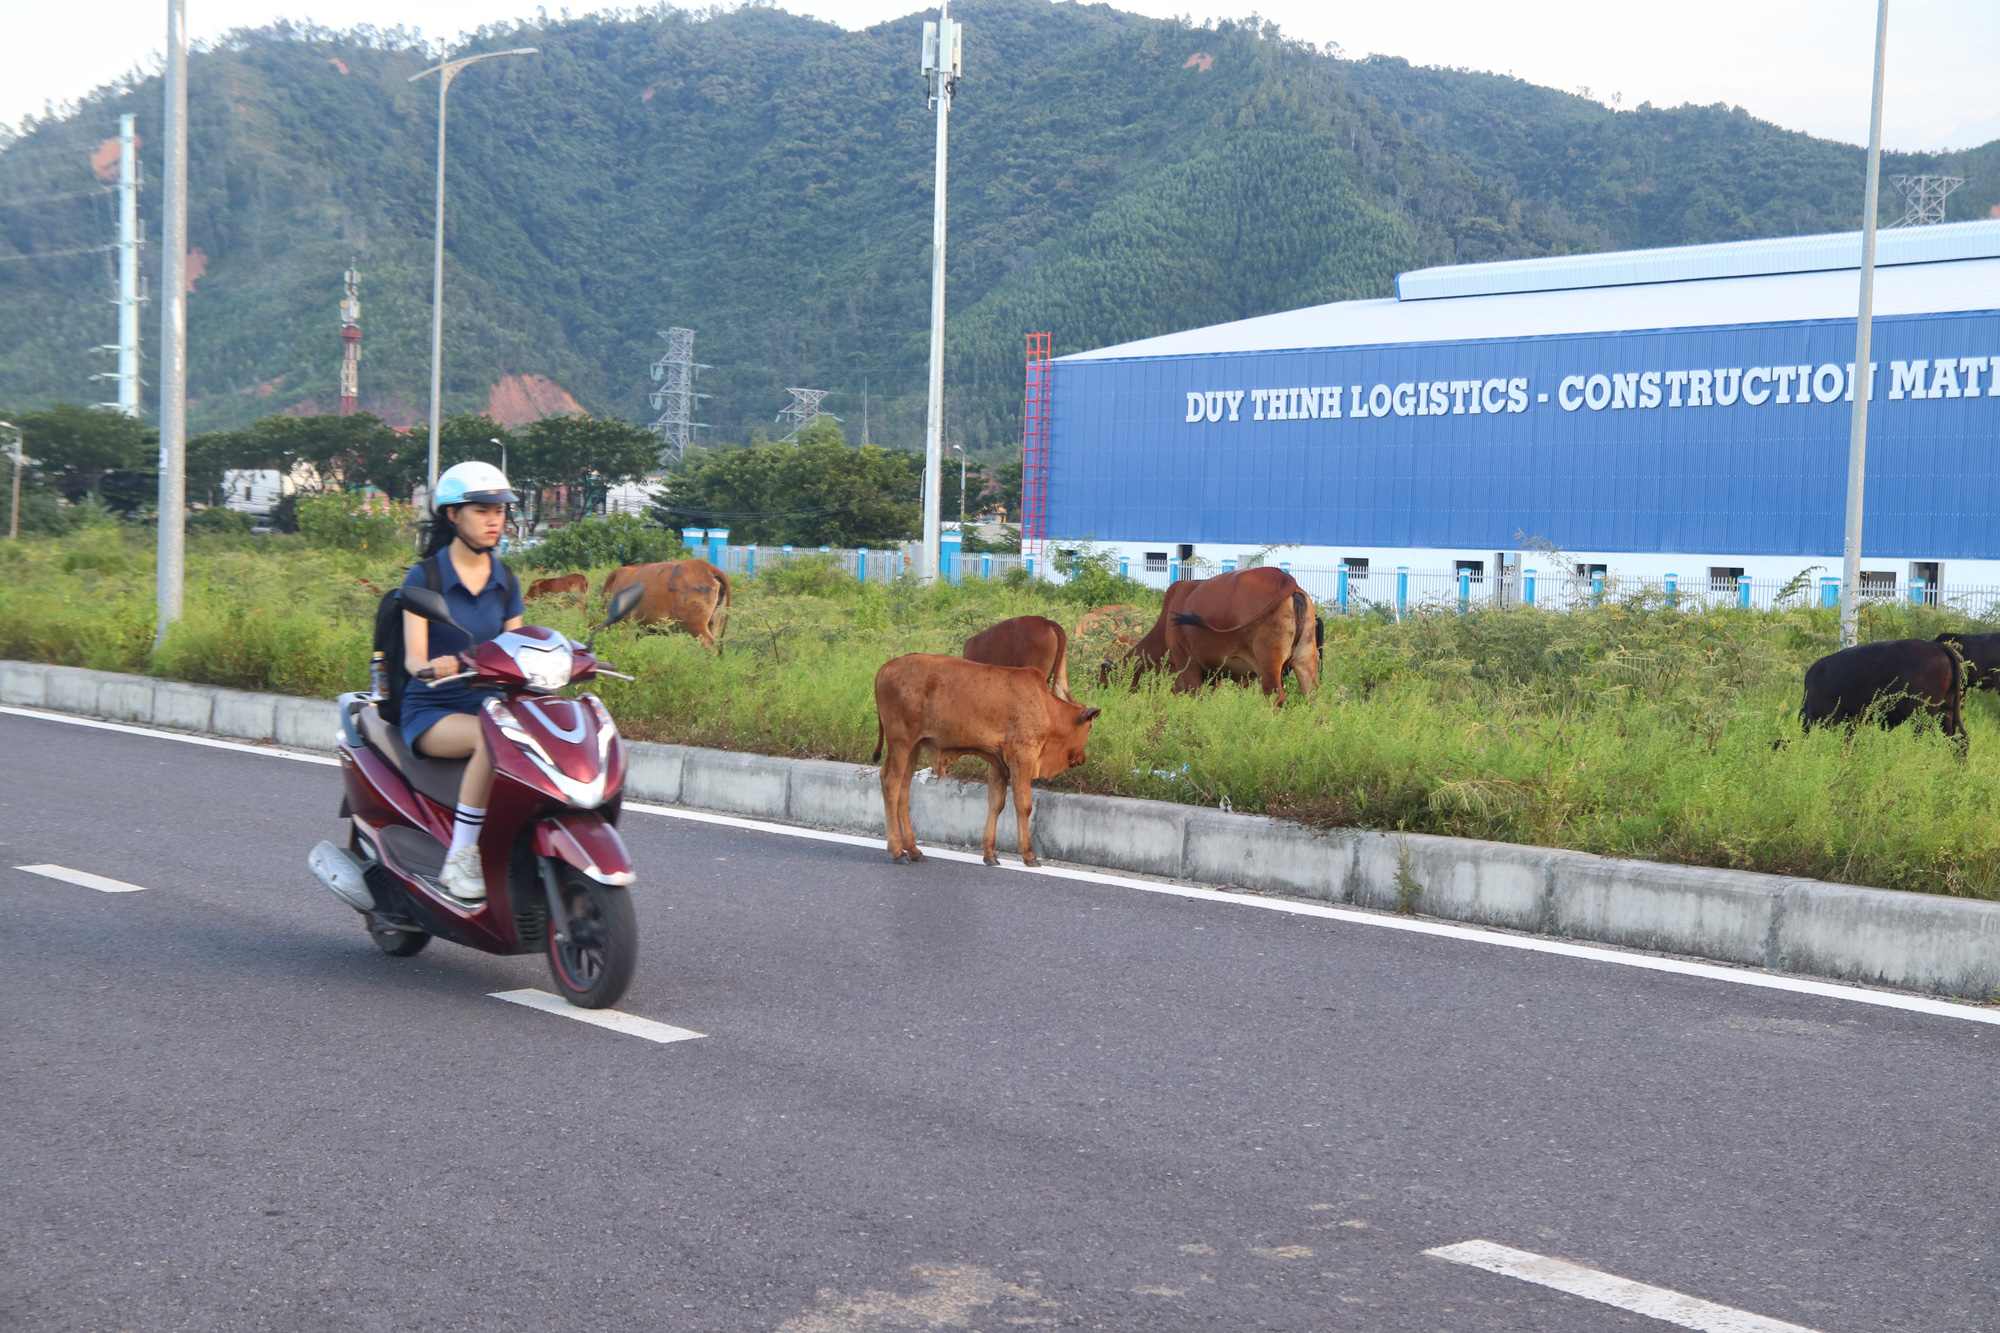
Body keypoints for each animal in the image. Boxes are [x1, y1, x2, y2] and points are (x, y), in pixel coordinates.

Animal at [868, 652, 1104, 860]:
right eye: (1090, 726)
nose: (1082, 758)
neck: (1046, 707)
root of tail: (885, 668)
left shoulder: (997, 763)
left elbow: (996, 804)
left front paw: (990, 854)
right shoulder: (1022, 758)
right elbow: (1024, 805)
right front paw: (1028, 855)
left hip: (913, 747)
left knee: (902, 788)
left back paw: (913, 850)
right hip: (901, 743)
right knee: (891, 783)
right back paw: (898, 852)